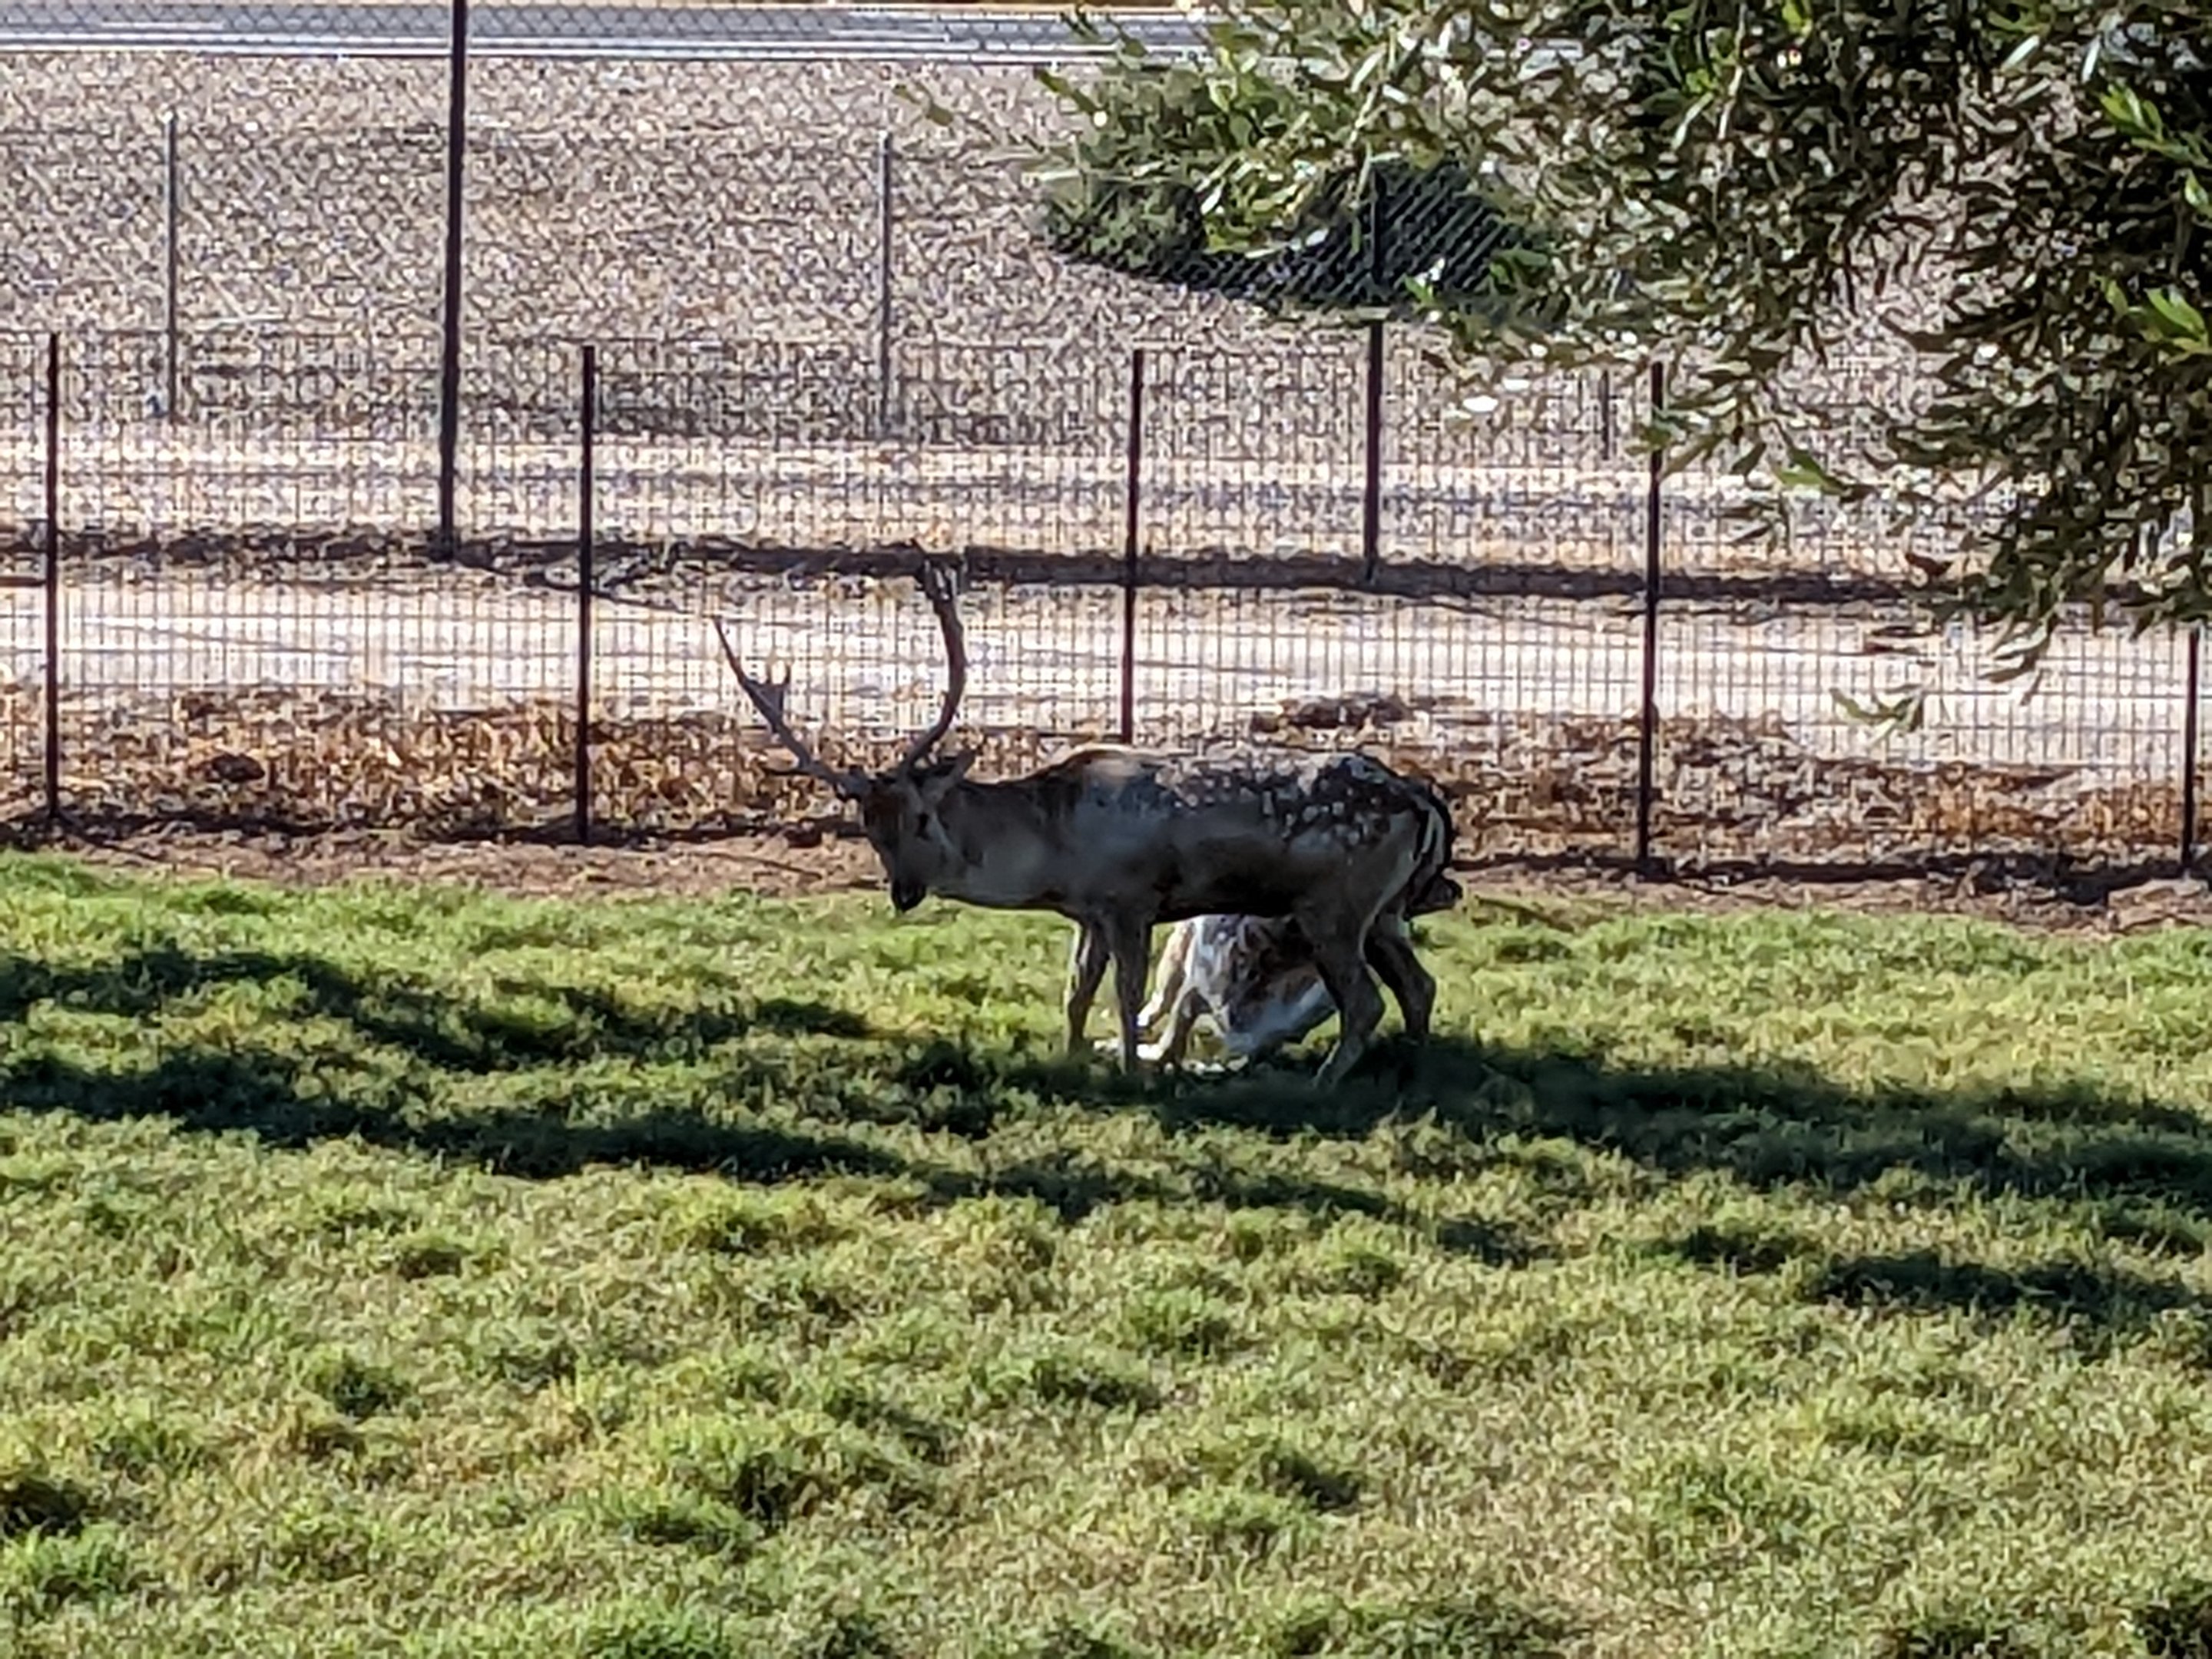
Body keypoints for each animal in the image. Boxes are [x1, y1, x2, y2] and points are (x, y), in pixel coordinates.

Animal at [712, 561, 1456, 1086]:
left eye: (922, 816)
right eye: (869, 828)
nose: (904, 893)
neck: (1054, 849)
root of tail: (1421, 801)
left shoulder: (1133, 899)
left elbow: (1125, 994)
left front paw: (1129, 1072)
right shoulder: (1087, 912)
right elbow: (1077, 991)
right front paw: (1068, 1057)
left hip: (1335, 904)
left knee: (1368, 1000)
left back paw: (1325, 1084)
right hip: (1382, 911)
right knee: (1418, 986)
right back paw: (1413, 1070)